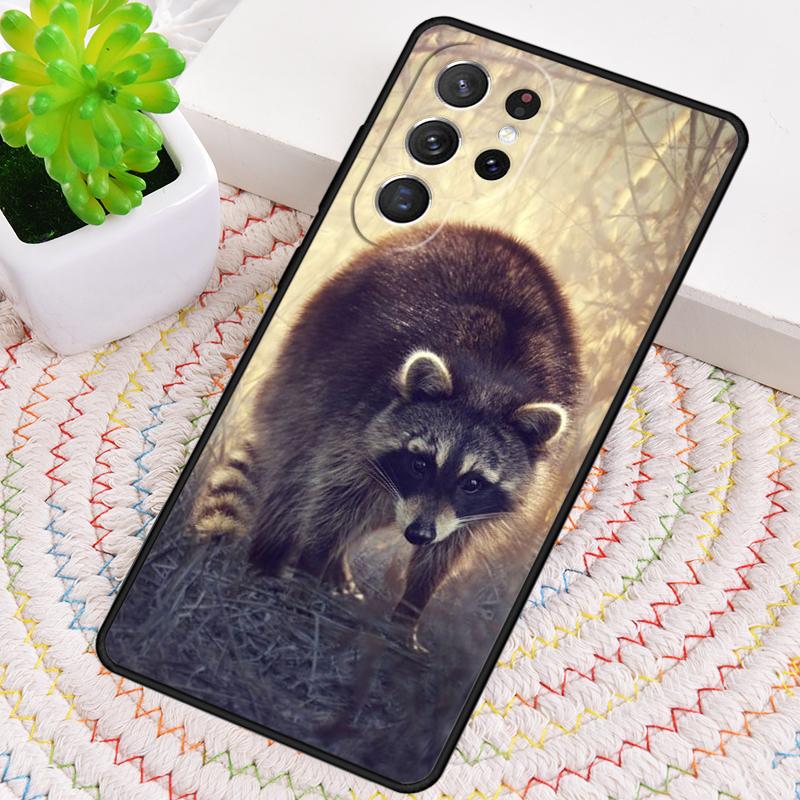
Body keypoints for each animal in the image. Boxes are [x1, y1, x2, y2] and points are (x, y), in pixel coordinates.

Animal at [192, 223, 581, 649]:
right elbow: (331, 497)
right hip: (308, 369)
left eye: (473, 483)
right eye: (420, 463)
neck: (488, 379)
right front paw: (312, 565)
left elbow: (447, 550)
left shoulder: (472, 508)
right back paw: (272, 557)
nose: (418, 534)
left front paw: (410, 610)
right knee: (298, 477)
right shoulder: (355, 408)